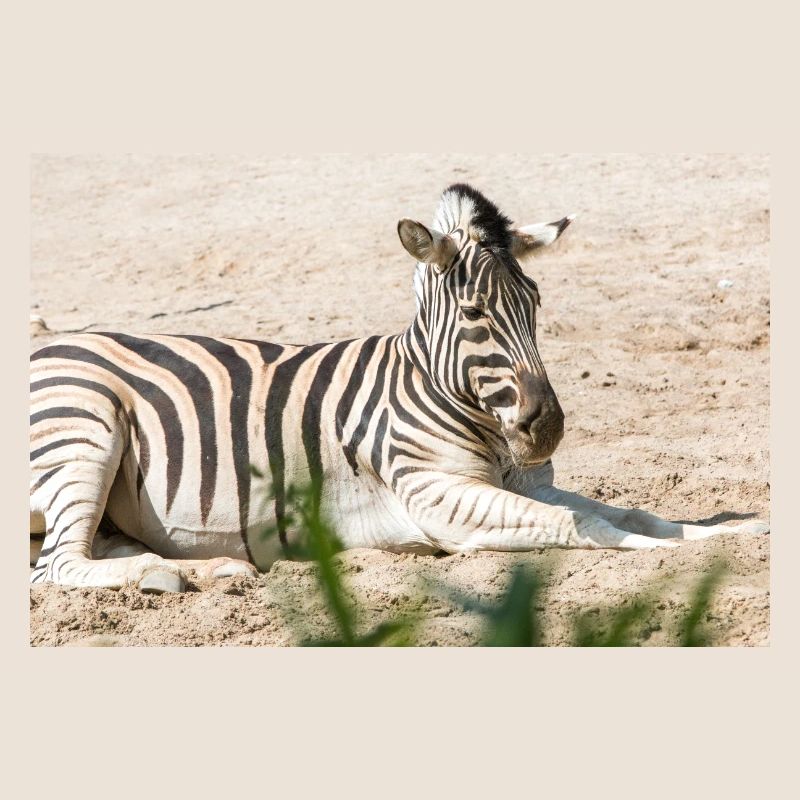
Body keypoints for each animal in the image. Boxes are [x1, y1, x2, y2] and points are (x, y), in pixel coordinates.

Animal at [29, 183, 769, 593]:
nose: (546, 429)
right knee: (58, 566)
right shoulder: (437, 496)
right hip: (85, 426)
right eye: (475, 314)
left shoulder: (520, 483)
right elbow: (585, 526)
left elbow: (636, 513)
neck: (436, 389)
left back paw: (198, 571)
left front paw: (730, 531)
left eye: (536, 302)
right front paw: (668, 556)